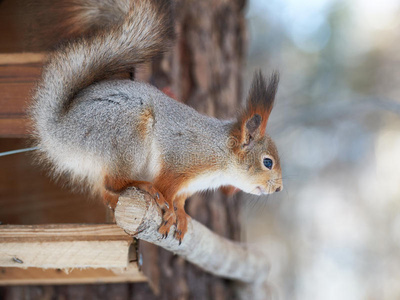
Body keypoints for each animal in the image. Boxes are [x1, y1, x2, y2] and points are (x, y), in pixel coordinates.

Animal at [29, 0, 282, 244]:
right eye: (267, 162)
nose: (279, 188)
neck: (220, 154)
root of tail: (60, 129)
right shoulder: (179, 162)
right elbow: (167, 188)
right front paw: (169, 211)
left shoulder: (188, 187)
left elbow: (179, 200)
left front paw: (181, 215)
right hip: (126, 135)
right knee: (114, 182)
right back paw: (143, 185)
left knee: (105, 189)